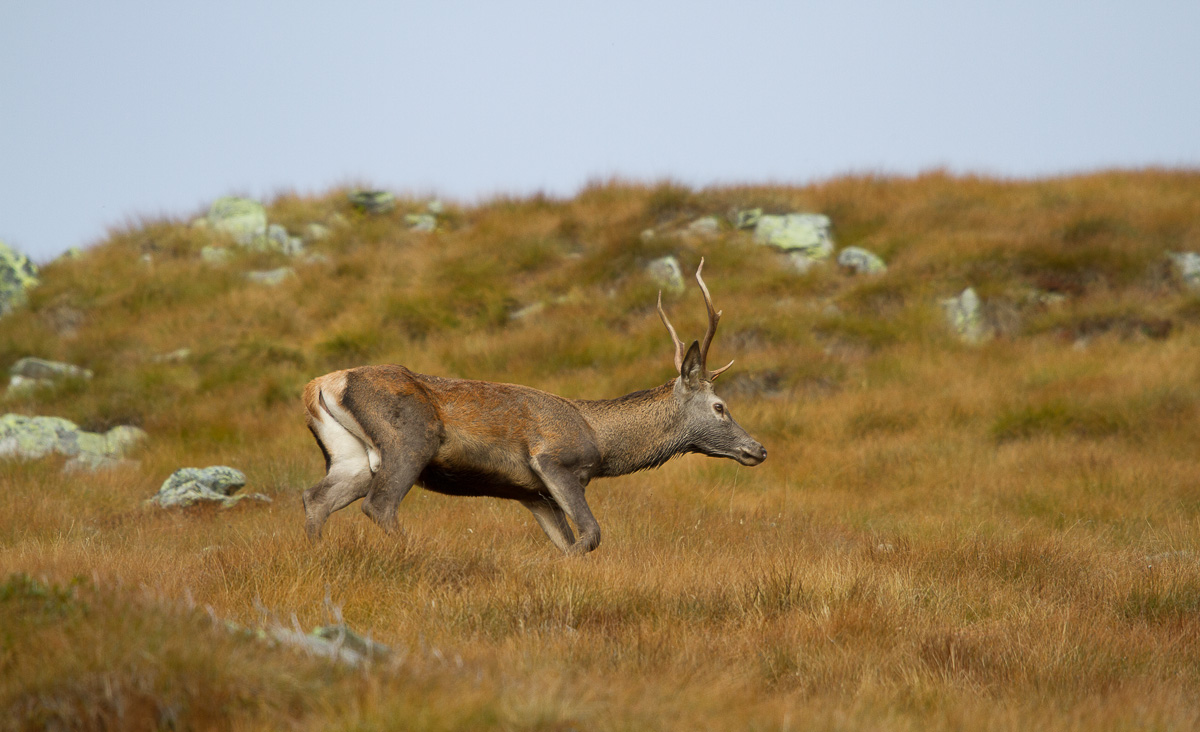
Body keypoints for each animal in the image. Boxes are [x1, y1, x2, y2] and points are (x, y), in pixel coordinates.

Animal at [301, 259, 766, 555]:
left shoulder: (532, 493)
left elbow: (568, 542)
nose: (758, 449)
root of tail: (322, 384)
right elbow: (591, 535)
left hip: (353, 457)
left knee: (315, 498)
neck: (602, 442)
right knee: (379, 505)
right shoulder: (555, 462)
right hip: (410, 440)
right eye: (720, 406)